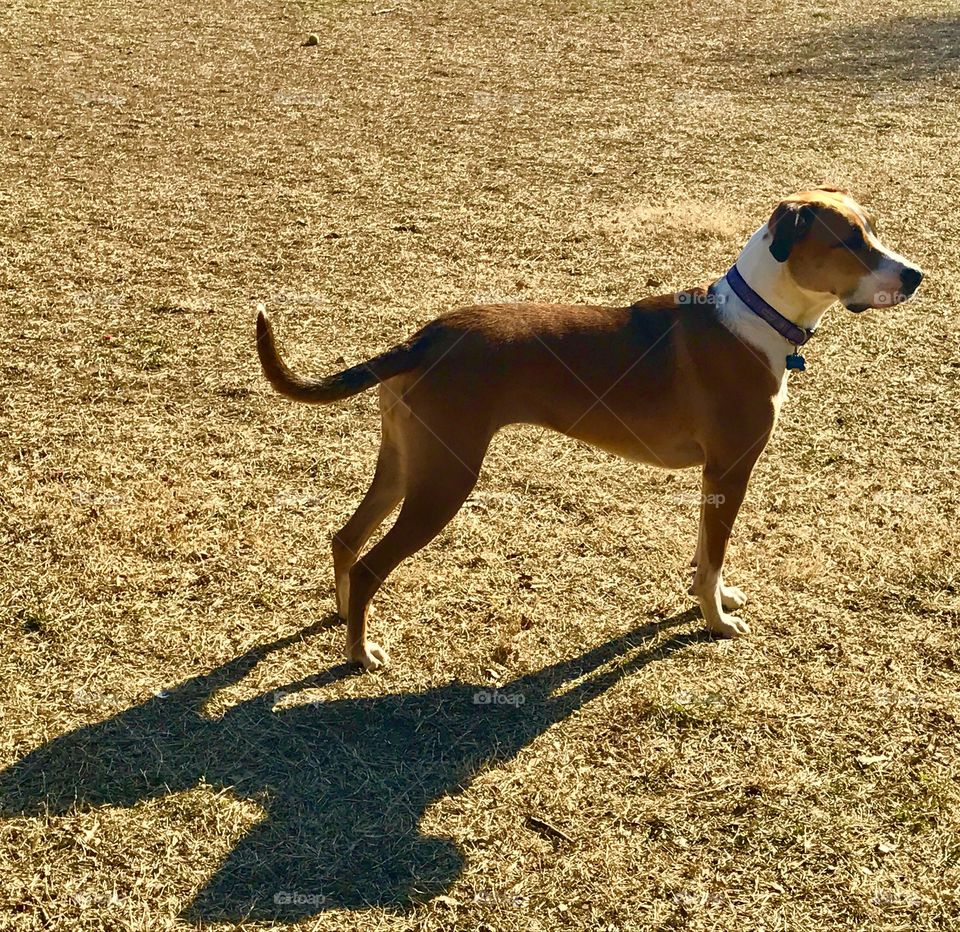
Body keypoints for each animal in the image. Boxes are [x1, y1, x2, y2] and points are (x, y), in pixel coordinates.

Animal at [255, 191, 924, 668]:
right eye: (852, 242)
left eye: (873, 231)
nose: (915, 275)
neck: (754, 317)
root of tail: (425, 339)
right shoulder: (729, 470)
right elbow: (713, 558)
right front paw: (714, 620)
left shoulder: (713, 478)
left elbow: (705, 554)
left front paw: (712, 598)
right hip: (444, 482)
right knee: (371, 563)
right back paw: (359, 653)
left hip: (404, 464)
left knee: (346, 539)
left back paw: (343, 617)